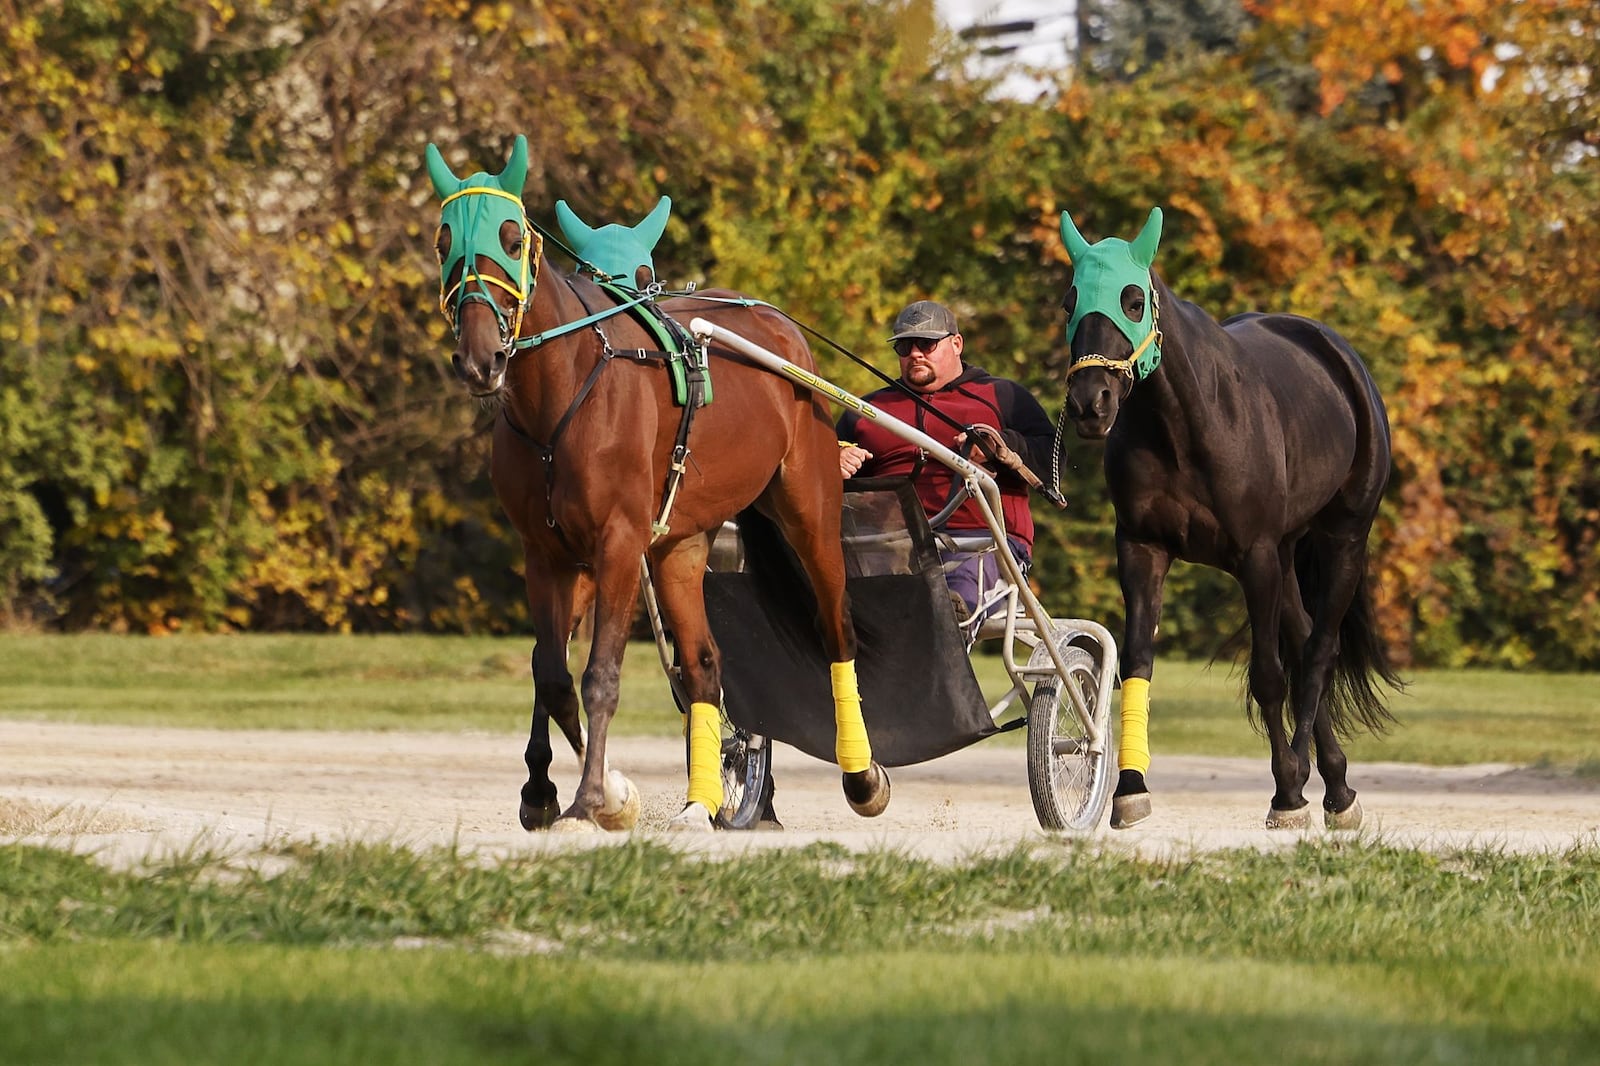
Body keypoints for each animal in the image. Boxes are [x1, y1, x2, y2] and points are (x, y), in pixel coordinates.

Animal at [425, 135, 896, 832]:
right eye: (443, 241)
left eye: (510, 237)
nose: (480, 359)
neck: (561, 392)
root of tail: (780, 328)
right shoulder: (548, 553)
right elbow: (551, 674)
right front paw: (587, 791)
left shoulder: (618, 541)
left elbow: (600, 674)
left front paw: (592, 800)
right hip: (680, 545)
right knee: (702, 664)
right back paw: (702, 800)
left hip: (808, 504)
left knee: (836, 626)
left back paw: (862, 776)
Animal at [1062, 203, 1401, 825]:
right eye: (1069, 300)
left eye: (1132, 298)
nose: (1089, 402)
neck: (1186, 430)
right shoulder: (1142, 549)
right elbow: (1138, 663)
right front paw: (1130, 788)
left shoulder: (1255, 555)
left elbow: (1269, 676)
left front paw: (1288, 792)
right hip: (1288, 555)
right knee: (1304, 640)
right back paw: (1338, 786)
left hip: (1343, 538)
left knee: (1318, 651)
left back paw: (1311, 780)